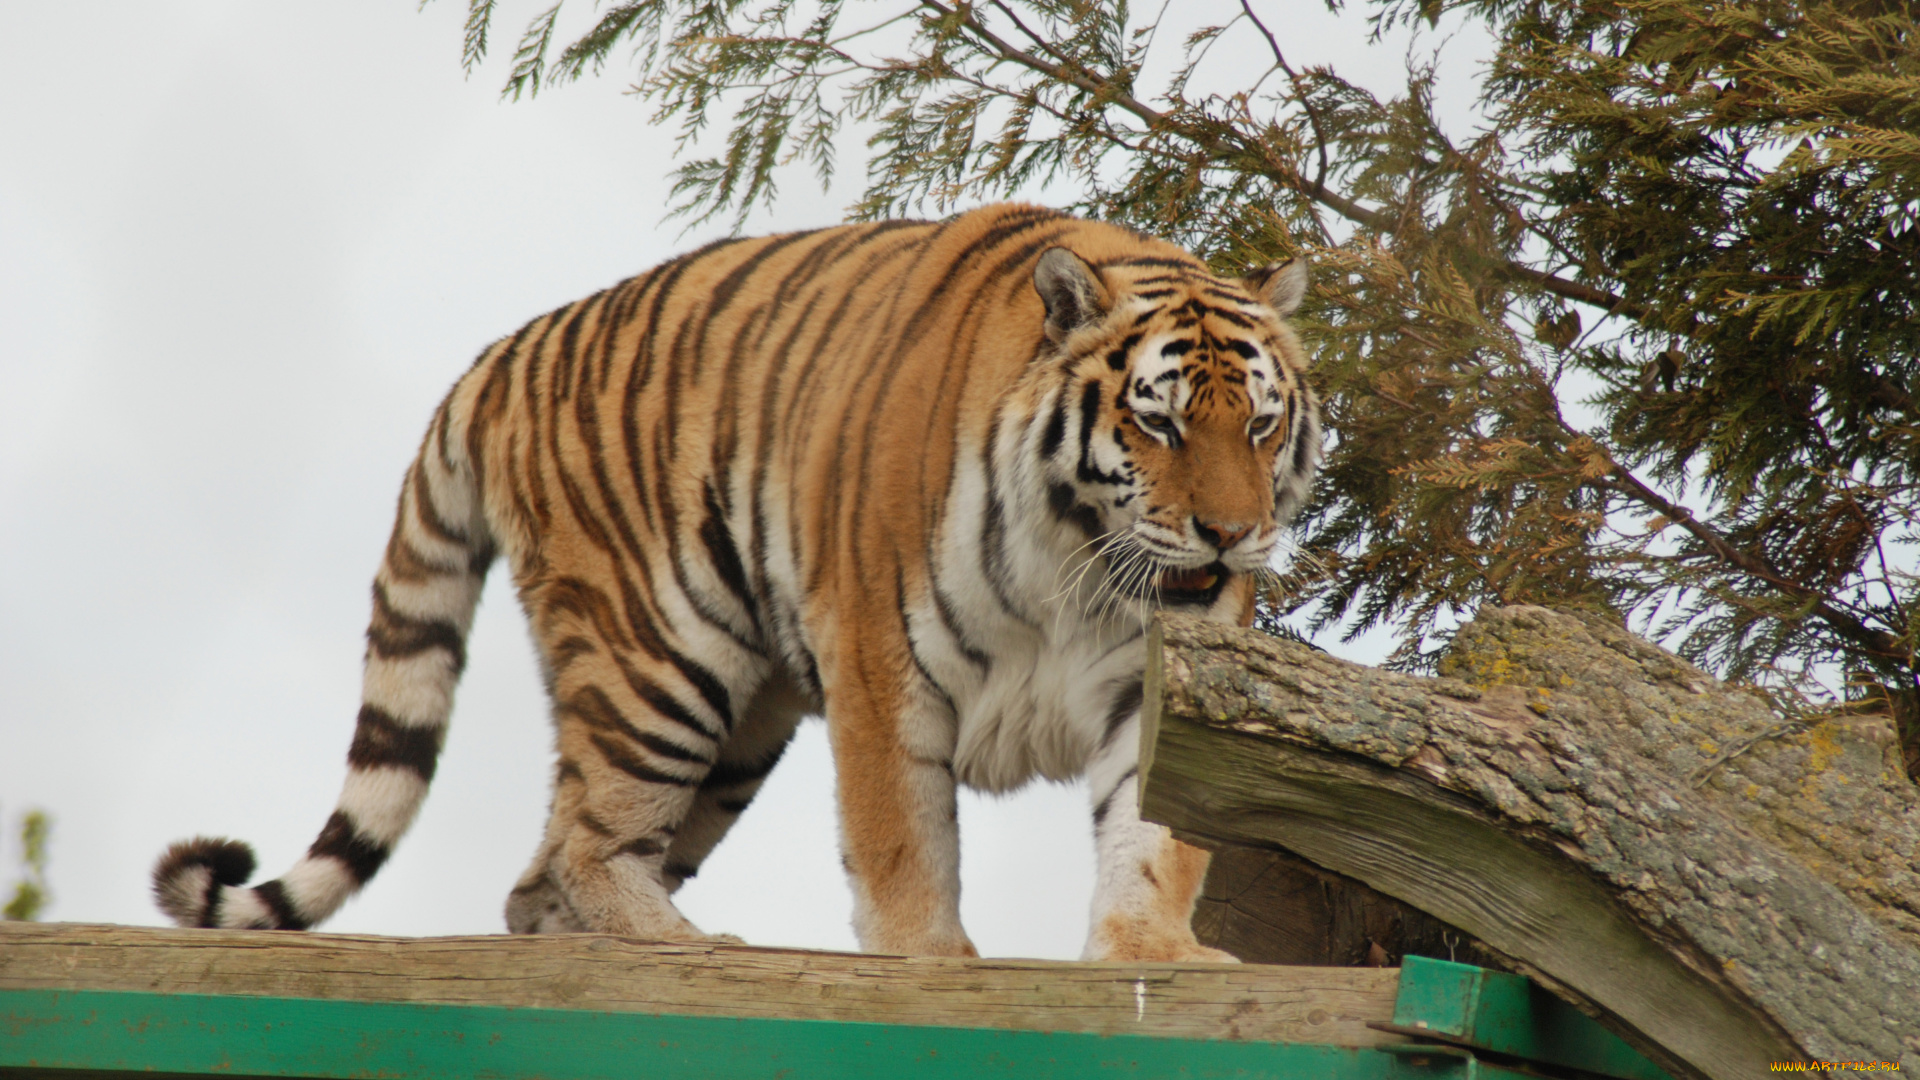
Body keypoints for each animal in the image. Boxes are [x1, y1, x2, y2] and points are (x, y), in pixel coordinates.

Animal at [151, 203, 1320, 962]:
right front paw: (930, 966)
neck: (1076, 559)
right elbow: (904, 845)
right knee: (585, 847)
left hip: (737, 730)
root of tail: (499, 353)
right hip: (659, 665)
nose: (1229, 538)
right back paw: (694, 949)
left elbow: (1153, 837)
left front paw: (1151, 955)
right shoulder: (882, 667)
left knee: (540, 881)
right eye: (1159, 422)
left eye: (1261, 424)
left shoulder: (1144, 685)